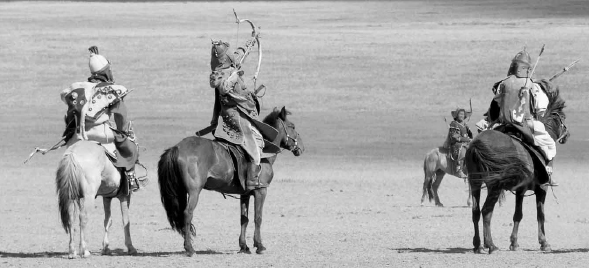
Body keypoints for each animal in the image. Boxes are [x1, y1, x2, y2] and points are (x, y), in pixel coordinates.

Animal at [156, 106, 304, 255]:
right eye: (292, 126)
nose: (301, 148)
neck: (264, 154)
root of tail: (177, 147)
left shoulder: (245, 194)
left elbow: (244, 219)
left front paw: (244, 246)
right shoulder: (261, 191)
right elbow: (258, 218)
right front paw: (259, 245)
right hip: (194, 192)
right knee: (187, 213)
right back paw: (190, 248)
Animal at [464, 87, 568, 254]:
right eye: (563, 117)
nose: (567, 135)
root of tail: (477, 145)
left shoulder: (520, 190)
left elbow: (518, 215)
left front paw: (514, 243)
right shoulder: (542, 188)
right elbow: (540, 215)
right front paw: (544, 243)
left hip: (475, 183)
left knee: (475, 211)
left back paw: (478, 245)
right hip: (494, 186)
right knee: (486, 211)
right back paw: (491, 245)